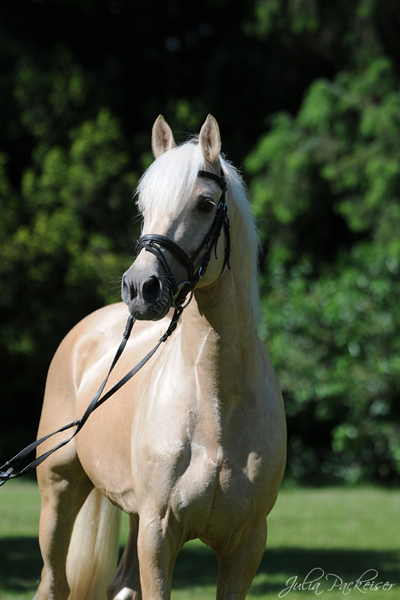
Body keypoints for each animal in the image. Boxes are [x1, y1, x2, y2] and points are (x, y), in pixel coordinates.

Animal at [34, 114, 286, 600]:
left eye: (206, 204)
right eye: (143, 204)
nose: (140, 287)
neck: (215, 409)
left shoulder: (246, 544)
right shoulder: (159, 534)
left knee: (122, 585)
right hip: (59, 489)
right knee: (53, 583)